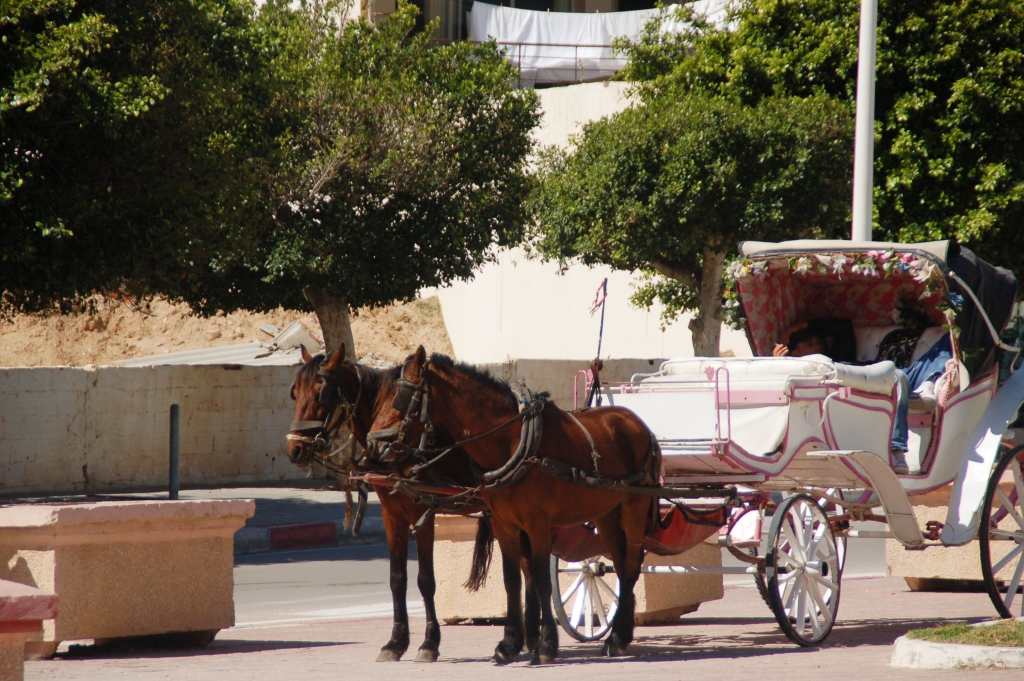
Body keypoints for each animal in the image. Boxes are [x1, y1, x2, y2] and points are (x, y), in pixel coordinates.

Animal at [284, 346, 548, 659]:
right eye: (295, 393)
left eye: (321, 393)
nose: (294, 449)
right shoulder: (392, 515)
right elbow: (397, 578)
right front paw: (396, 641)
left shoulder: (423, 513)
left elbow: (425, 579)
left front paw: (429, 643)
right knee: (526, 565)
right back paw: (531, 636)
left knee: (527, 567)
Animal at [366, 348, 655, 659]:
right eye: (379, 397)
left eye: (401, 397)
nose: (372, 445)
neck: (511, 440)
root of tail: (637, 422)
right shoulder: (504, 523)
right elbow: (511, 578)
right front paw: (510, 643)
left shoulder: (538, 523)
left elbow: (541, 577)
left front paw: (546, 644)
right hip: (607, 513)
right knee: (621, 563)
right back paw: (619, 635)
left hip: (635, 507)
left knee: (631, 564)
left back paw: (617, 636)